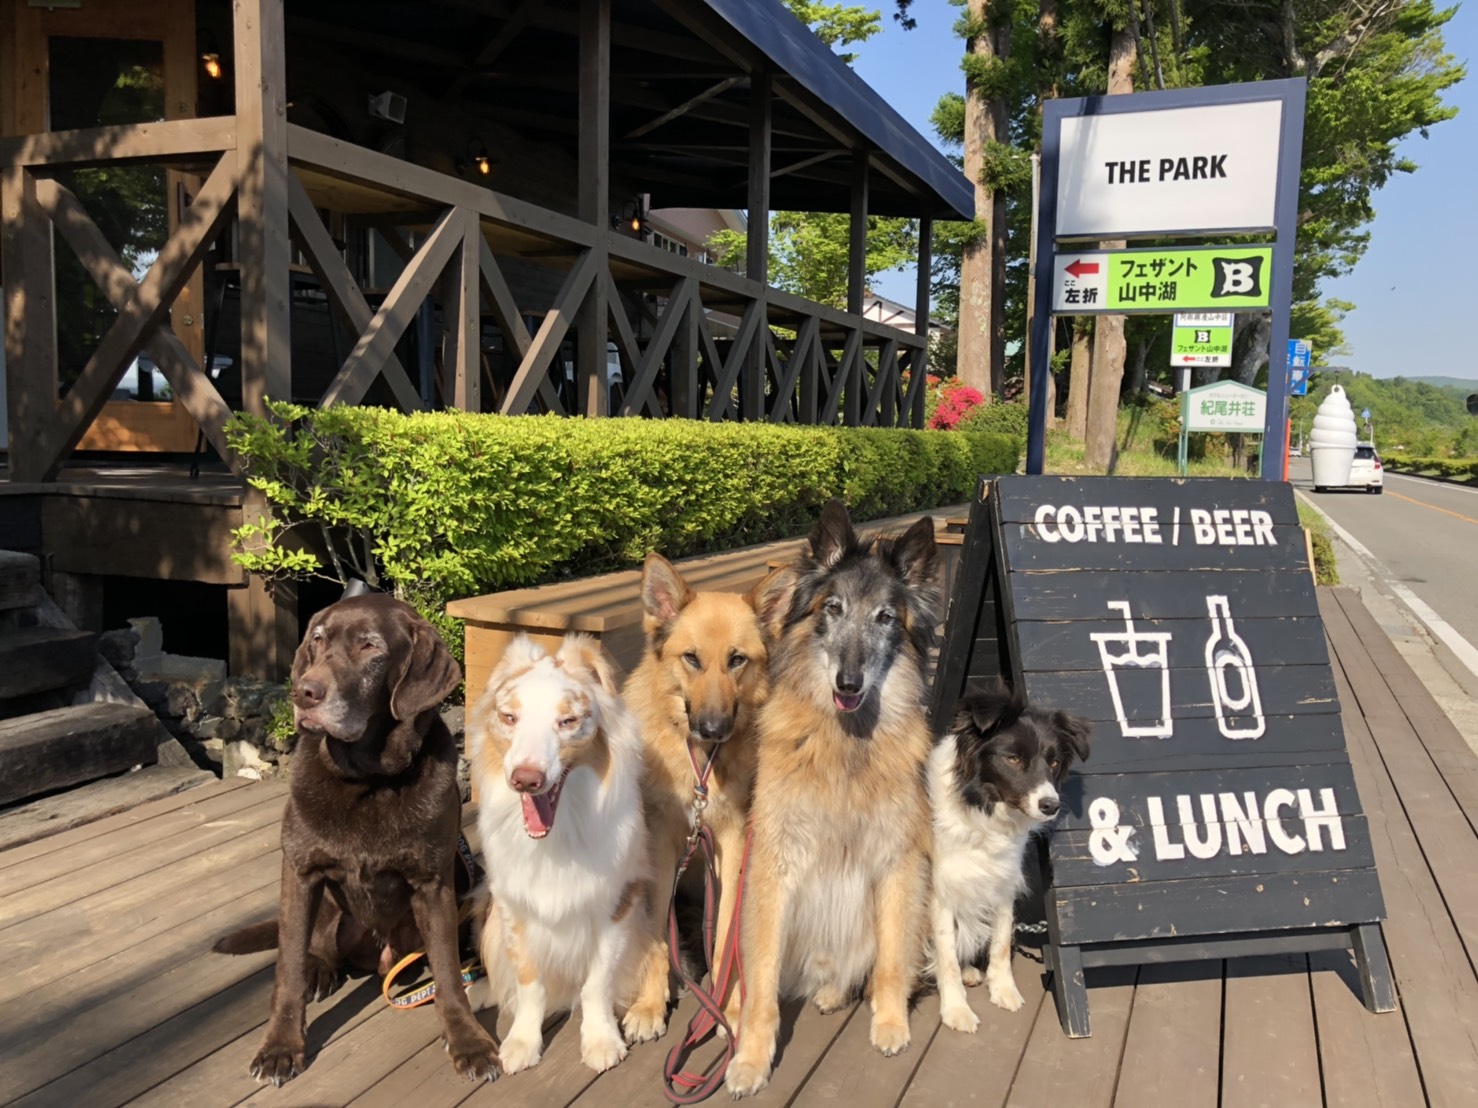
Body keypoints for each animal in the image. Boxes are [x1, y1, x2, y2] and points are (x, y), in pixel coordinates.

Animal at [617, 558, 792, 1040]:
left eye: (737, 660)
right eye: (691, 658)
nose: (713, 729)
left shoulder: (731, 842)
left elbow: (726, 928)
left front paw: (725, 1005)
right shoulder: (662, 843)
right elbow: (659, 927)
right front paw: (650, 1004)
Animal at [724, 505, 934, 1105]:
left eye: (886, 617)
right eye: (833, 609)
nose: (848, 683)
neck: (845, 742)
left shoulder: (900, 862)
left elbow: (891, 960)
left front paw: (890, 1022)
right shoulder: (772, 868)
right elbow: (761, 986)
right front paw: (751, 1058)